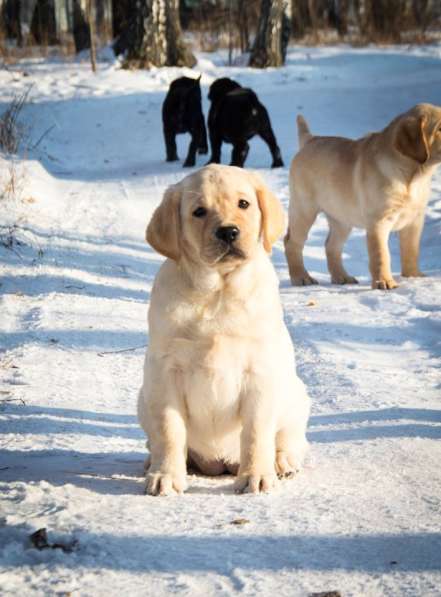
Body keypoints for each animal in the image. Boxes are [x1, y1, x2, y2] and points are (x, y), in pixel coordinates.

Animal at [138, 162, 310, 494]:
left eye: (244, 204)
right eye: (199, 211)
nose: (229, 232)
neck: (217, 292)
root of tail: (218, 464)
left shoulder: (259, 371)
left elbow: (255, 432)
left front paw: (256, 476)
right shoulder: (165, 371)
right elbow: (169, 430)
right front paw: (166, 475)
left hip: (296, 395)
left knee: (289, 438)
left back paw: (282, 462)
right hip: (144, 396)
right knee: (157, 438)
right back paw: (153, 461)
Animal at [284, 103, 440, 290]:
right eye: (440, 128)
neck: (413, 176)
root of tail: (310, 140)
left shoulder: (415, 220)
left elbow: (411, 250)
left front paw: (413, 276)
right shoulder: (379, 221)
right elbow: (381, 254)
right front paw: (384, 282)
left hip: (341, 218)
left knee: (331, 246)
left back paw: (342, 277)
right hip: (304, 209)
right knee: (292, 243)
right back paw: (301, 277)